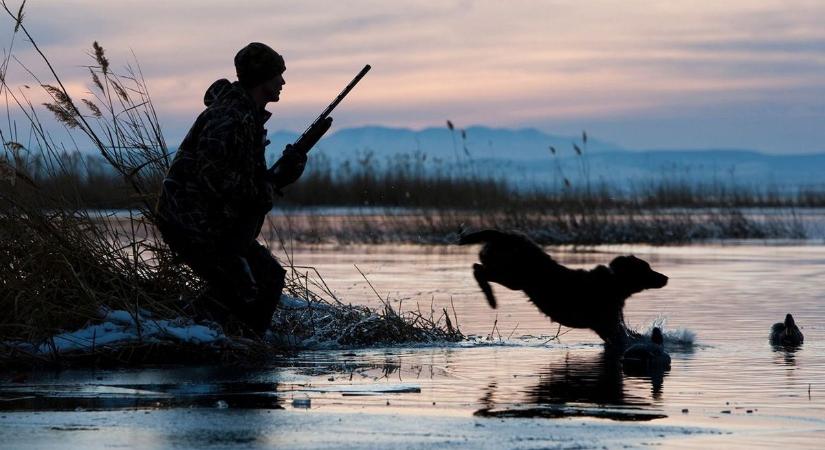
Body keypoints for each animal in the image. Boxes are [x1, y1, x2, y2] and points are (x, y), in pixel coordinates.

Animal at [460, 229, 668, 348]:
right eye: (647, 269)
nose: (665, 277)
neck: (614, 282)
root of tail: (503, 236)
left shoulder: (612, 324)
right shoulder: (607, 325)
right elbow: (624, 338)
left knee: (477, 267)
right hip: (512, 276)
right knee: (478, 269)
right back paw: (491, 298)